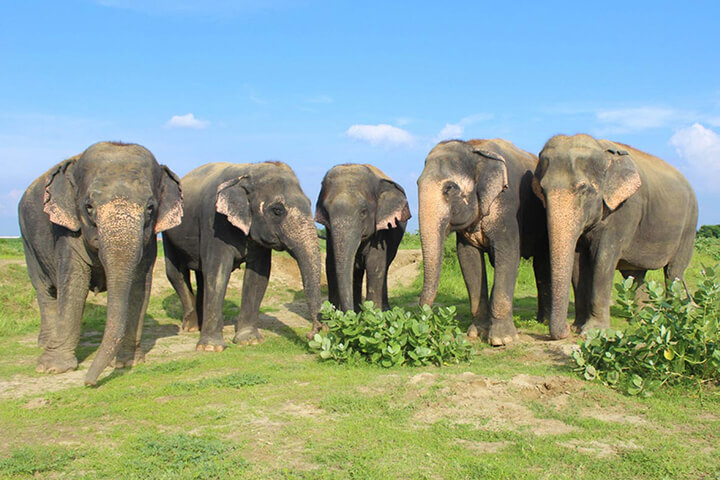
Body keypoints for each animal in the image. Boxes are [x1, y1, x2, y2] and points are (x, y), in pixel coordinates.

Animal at [18, 141, 183, 386]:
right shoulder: (67, 231)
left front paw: (128, 363)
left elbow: (139, 286)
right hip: (27, 239)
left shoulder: (149, 241)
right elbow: (74, 283)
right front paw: (52, 369)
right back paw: (44, 344)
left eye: (150, 208)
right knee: (44, 290)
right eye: (88, 207)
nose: (89, 382)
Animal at [162, 161, 322, 351]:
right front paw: (211, 348)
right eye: (277, 210)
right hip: (168, 229)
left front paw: (250, 340)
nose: (313, 333)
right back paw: (192, 327)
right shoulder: (214, 222)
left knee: (201, 276)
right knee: (175, 272)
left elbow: (259, 275)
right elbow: (217, 272)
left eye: (310, 203)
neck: (248, 171)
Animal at [315, 164, 411, 312]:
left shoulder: (382, 230)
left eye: (363, 212)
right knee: (357, 271)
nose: (347, 313)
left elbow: (375, 264)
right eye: (326, 212)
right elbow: (330, 263)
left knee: (384, 267)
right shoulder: (329, 232)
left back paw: (384, 310)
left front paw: (373, 314)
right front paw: (333, 316)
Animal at [418, 139, 550, 346]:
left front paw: (502, 340)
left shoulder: (507, 205)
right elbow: (468, 259)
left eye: (449, 188)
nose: (430, 330)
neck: (474, 148)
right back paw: (541, 320)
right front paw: (476, 333)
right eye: (416, 183)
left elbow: (508, 253)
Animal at [533, 134, 698, 339]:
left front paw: (593, 332)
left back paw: (673, 315)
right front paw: (578, 327)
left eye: (583, 188)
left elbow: (603, 259)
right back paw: (641, 318)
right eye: (542, 190)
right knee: (635, 276)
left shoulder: (623, 212)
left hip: (689, 225)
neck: (601, 150)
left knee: (674, 272)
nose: (565, 329)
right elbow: (578, 264)